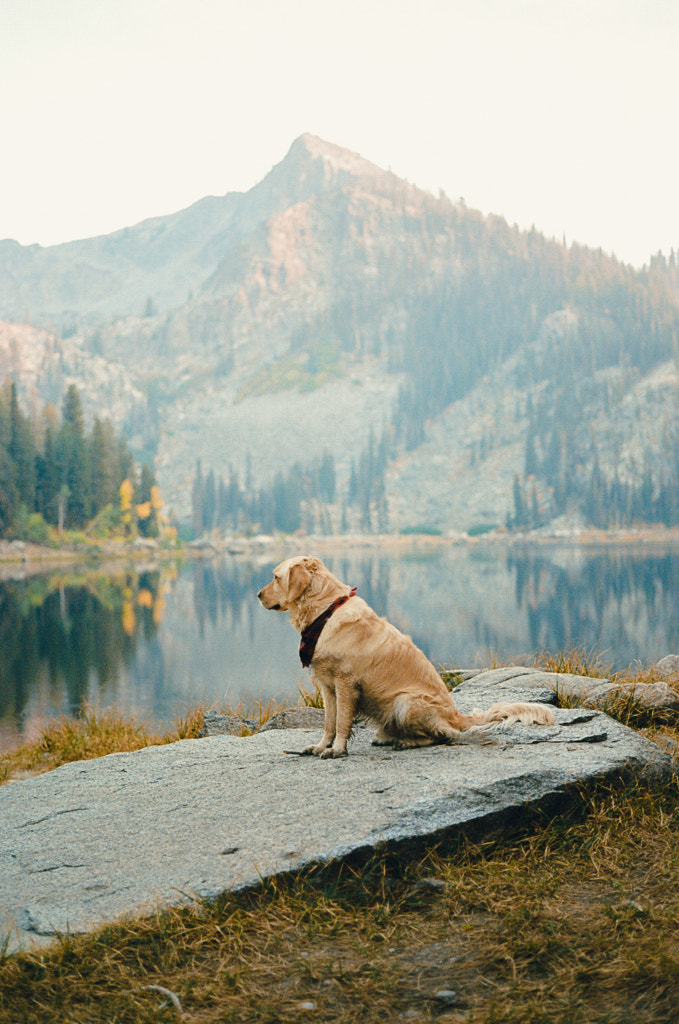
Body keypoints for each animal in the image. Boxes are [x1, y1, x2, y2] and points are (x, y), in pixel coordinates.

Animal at [258, 557, 557, 757]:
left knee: (442, 736)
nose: (258, 594)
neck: (326, 611)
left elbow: (341, 721)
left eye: (275, 577)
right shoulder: (327, 685)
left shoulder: (345, 683)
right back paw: (388, 738)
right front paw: (321, 746)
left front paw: (337, 750)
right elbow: (329, 722)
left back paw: (406, 741)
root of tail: (457, 716)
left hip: (405, 702)